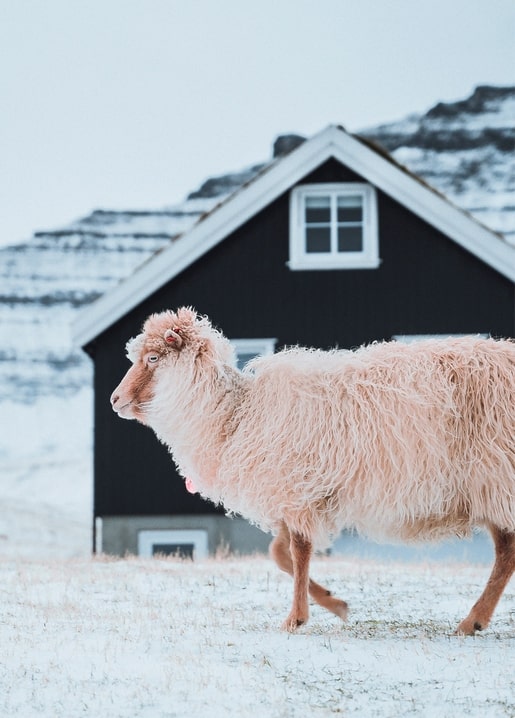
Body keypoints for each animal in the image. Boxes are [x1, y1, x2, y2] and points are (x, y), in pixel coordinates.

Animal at [110, 307, 515, 634]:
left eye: (152, 357)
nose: (114, 400)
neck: (236, 416)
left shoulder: (297, 488)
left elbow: (298, 552)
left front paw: (296, 618)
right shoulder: (293, 494)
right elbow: (280, 553)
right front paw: (336, 603)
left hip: (496, 476)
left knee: (505, 553)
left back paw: (472, 621)